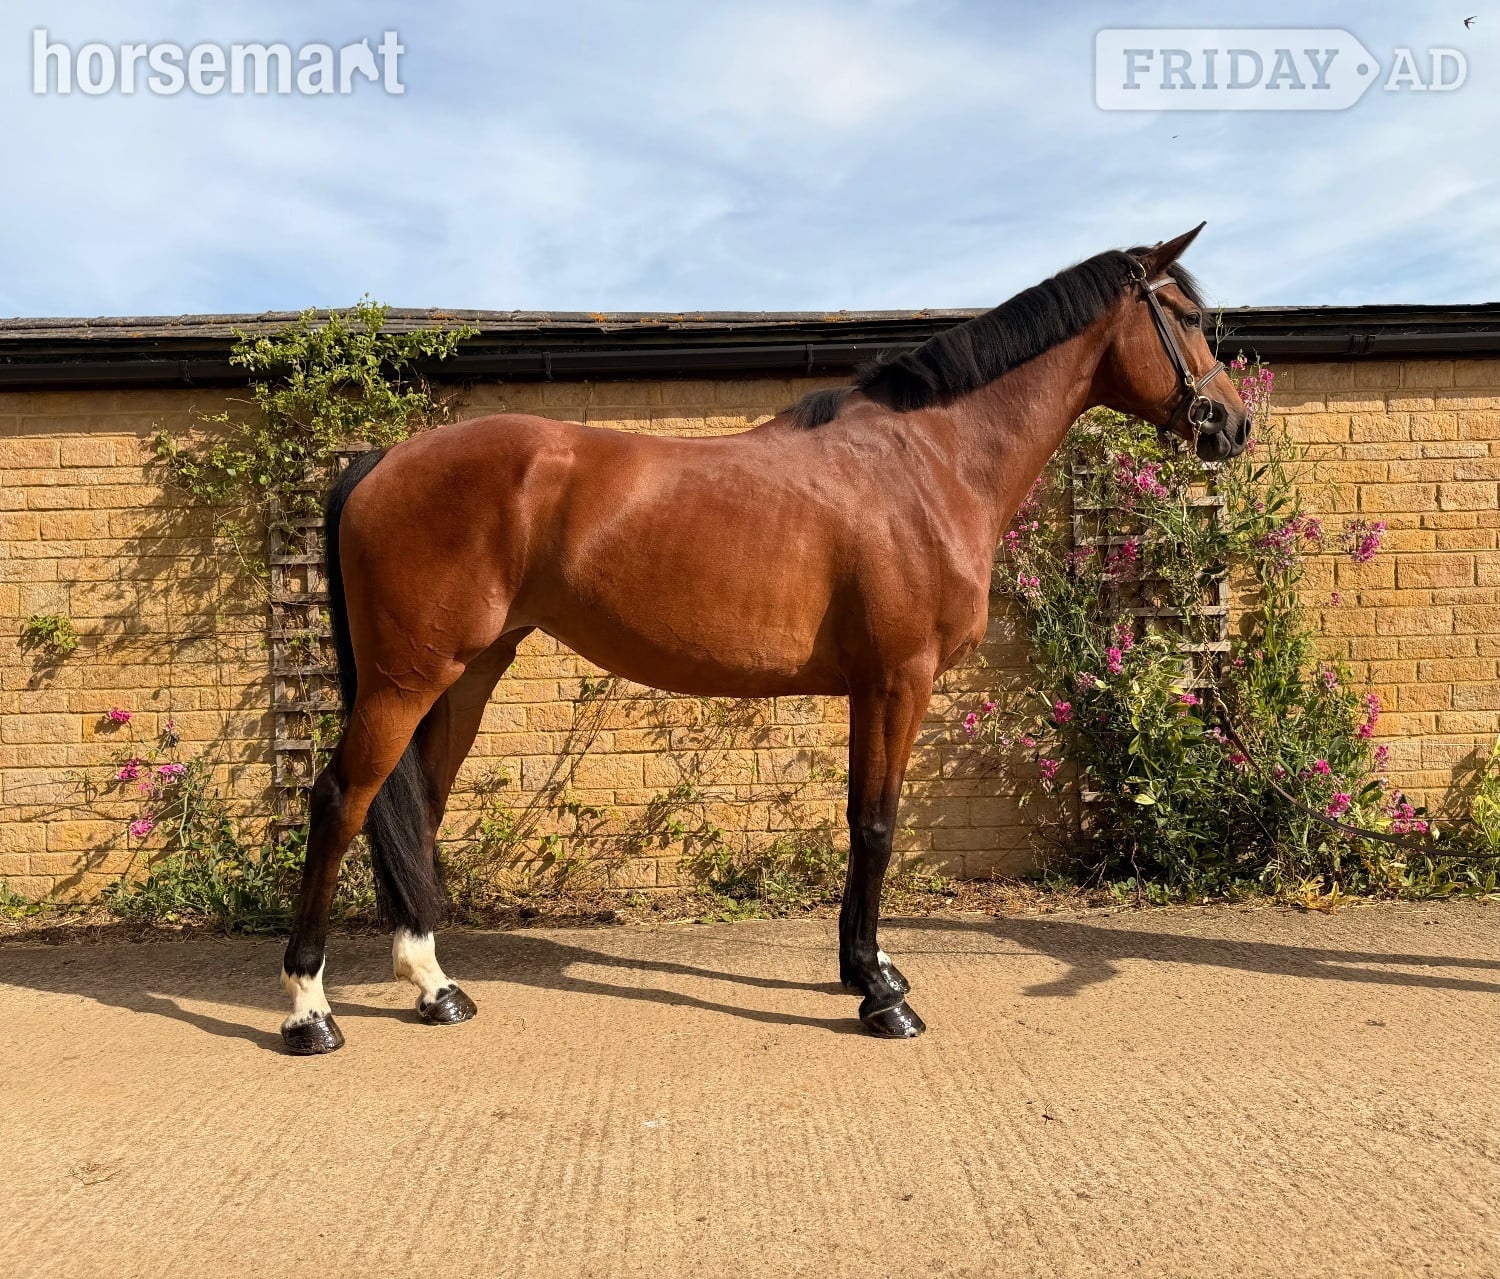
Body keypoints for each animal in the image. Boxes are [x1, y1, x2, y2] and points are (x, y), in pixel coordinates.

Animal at [279, 223, 1251, 1054]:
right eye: (1187, 316)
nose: (1233, 423)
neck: (928, 461)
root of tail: (381, 460)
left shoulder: (871, 685)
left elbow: (862, 819)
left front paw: (869, 966)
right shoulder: (899, 678)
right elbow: (877, 825)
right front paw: (881, 998)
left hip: (464, 675)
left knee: (412, 808)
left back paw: (434, 986)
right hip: (408, 678)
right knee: (339, 800)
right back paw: (310, 1009)